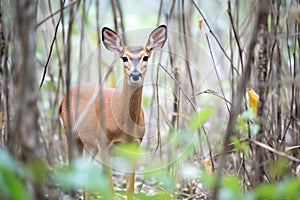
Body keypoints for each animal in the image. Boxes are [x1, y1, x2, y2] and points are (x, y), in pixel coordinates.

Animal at [59, 25, 168, 200]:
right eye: (124, 58)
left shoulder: (135, 144)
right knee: (71, 171)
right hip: (71, 133)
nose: (135, 74)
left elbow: (130, 189)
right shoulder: (104, 143)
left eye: (145, 57)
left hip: (90, 144)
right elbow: (109, 189)